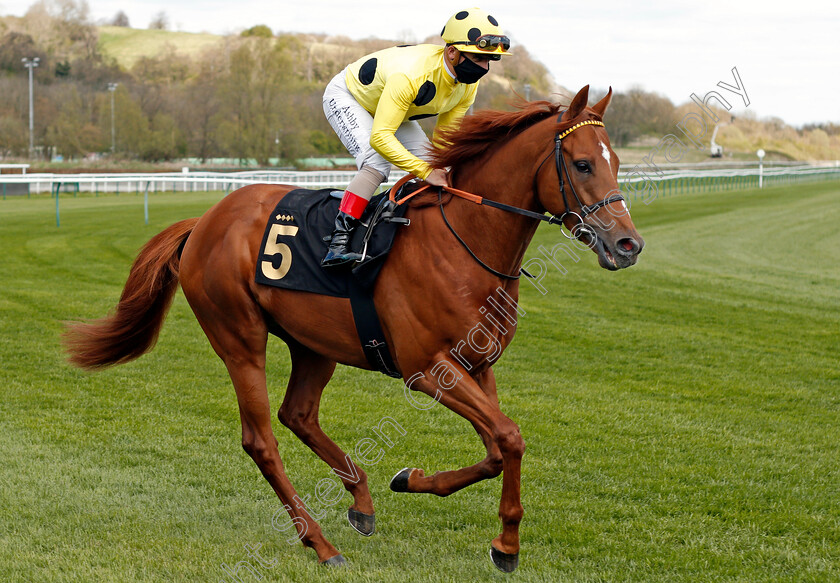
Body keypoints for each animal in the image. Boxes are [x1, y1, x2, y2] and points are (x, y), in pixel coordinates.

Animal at [65, 86, 644, 576]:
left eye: (617, 163)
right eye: (583, 163)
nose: (628, 245)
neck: (464, 242)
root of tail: (204, 221)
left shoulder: (478, 365)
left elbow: (498, 448)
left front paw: (410, 480)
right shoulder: (426, 369)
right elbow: (510, 437)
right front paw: (506, 546)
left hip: (312, 344)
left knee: (297, 414)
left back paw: (361, 501)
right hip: (239, 338)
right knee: (262, 439)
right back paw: (319, 543)